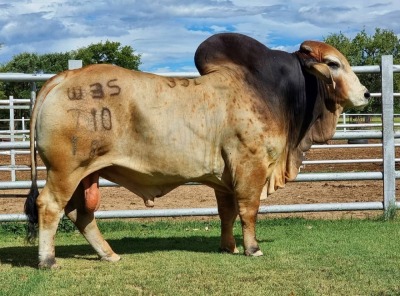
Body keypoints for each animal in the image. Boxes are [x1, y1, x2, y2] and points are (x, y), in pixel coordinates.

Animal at [25, 32, 368, 268]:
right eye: (334, 64)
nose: (365, 93)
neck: (273, 93)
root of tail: (63, 77)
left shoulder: (223, 178)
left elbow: (227, 212)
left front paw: (228, 246)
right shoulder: (251, 167)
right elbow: (249, 210)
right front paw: (252, 248)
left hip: (86, 174)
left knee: (81, 213)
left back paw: (109, 254)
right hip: (66, 170)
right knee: (50, 206)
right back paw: (48, 261)